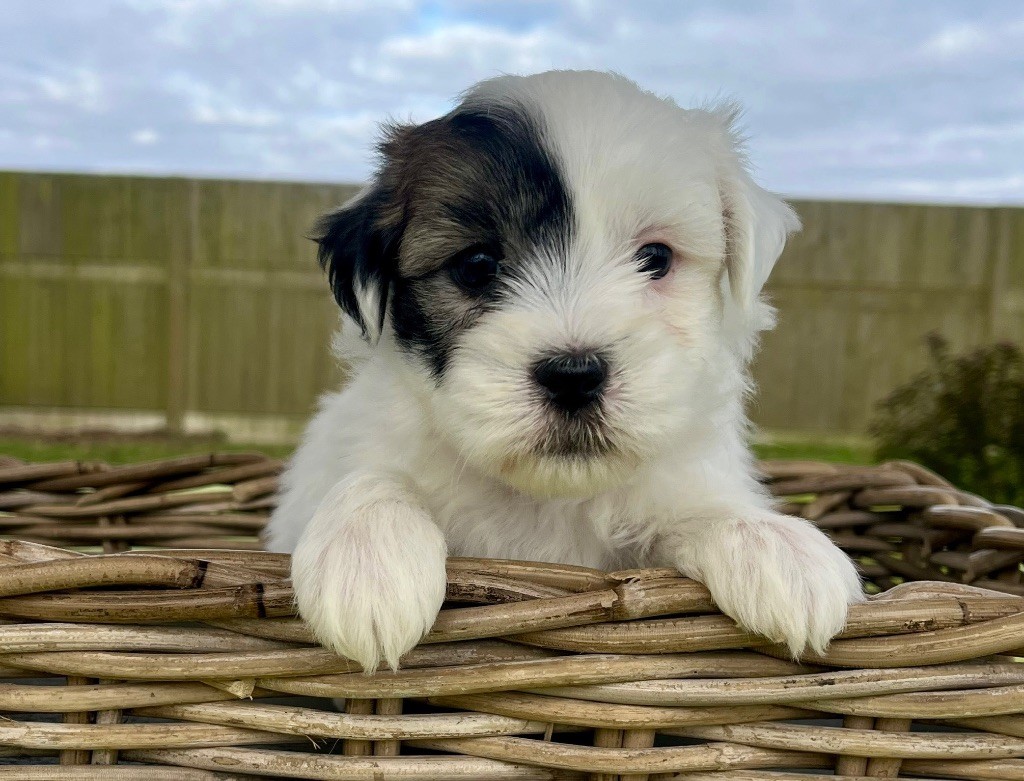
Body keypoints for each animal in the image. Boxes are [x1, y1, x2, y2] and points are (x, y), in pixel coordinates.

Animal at [266, 70, 864, 675]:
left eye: (656, 258)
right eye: (477, 266)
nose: (574, 374)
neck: (546, 498)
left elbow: (699, 505)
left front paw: (773, 543)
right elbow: (378, 475)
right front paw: (367, 554)